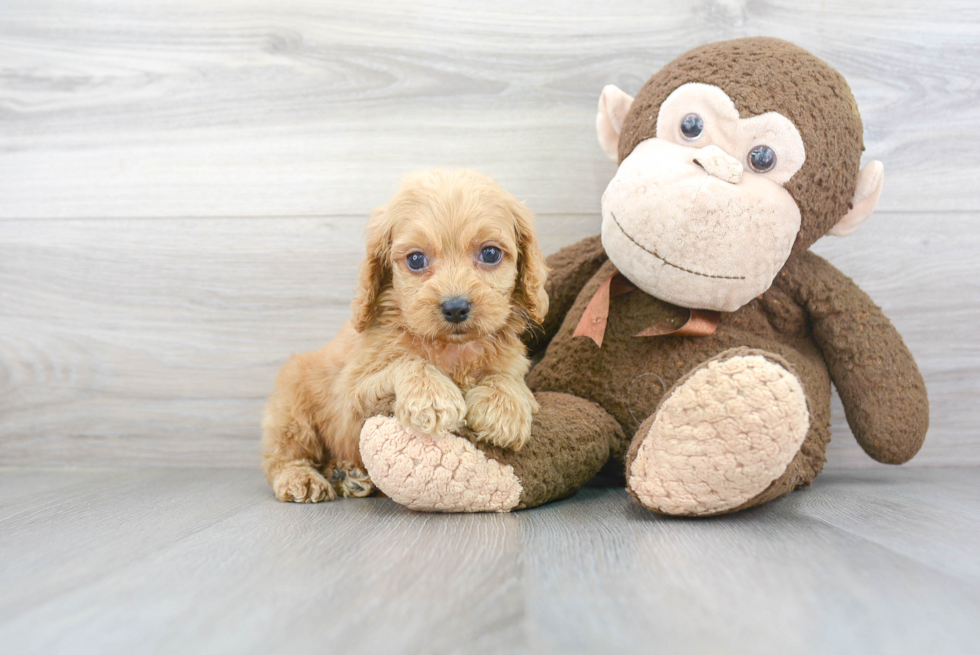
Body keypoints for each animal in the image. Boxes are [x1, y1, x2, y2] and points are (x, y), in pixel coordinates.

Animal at [264, 169, 548, 502]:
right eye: (416, 260)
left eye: (490, 253)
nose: (455, 308)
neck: (452, 349)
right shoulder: (352, 397)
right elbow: (408, 361)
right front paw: (432, 397)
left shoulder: (513, 363)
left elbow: (507, 377)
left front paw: (503, 410)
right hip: (291, 405)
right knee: (283, 454)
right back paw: (302, 478)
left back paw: (347, 475)